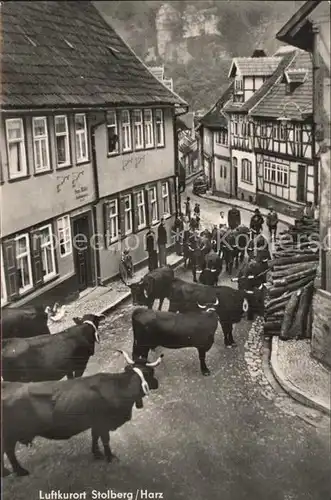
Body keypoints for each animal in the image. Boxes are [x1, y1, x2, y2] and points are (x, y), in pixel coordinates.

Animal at [2, 352, 163, 476]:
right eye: (151, 373)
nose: (157, 383)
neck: (117, 387)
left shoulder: (96, 424)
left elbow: (94, 437)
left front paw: (96, 454)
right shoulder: (103, 423)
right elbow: (105, 440)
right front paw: (110, 457)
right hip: (10, 435)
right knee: (8, 451)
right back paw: (19, 471)